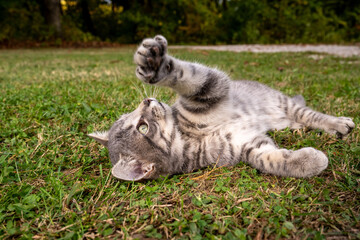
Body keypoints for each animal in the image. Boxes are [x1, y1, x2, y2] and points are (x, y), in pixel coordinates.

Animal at [89, 35, 354, 181]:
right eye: (142, 128)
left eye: (135, 117)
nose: (146, 101)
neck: (189, 137)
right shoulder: (247, 146)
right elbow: (272, 160)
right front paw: (311, 161)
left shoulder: (209, 90)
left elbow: (187, 75)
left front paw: (154, 63)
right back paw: (299, 128)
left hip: (283, 102)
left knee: (313, 115)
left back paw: (339, 124)